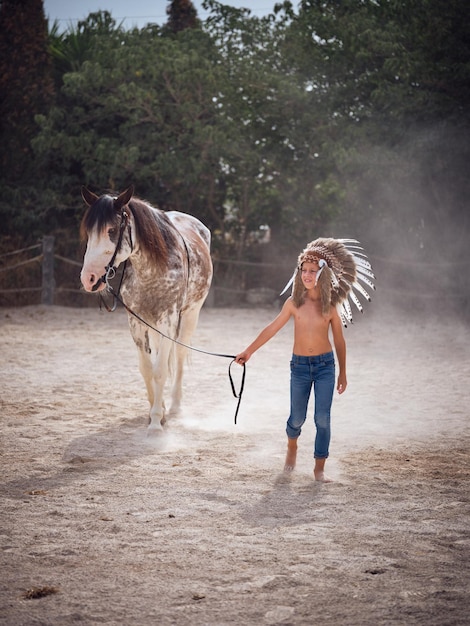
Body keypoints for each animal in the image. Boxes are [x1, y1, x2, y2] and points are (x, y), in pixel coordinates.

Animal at [80, 183, 213, 432]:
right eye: (89, 233)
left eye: (112, 230)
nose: (89, 278)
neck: (153, 268)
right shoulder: (136, 322)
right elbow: (147, 369)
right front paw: (154, 412)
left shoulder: (168, 320)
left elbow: (160, 371)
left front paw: (156, 422)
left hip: (190, 315)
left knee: (179, 355)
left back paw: (175, 406)